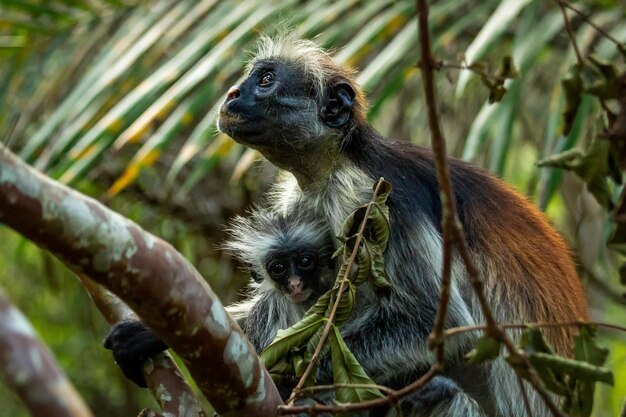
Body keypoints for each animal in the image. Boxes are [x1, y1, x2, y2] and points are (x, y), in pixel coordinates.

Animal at [217, 35, 588, 416]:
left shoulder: (373, 197)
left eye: (266, 80)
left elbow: (439, 323)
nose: (232, 93)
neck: (338, 165)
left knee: (441, 393)